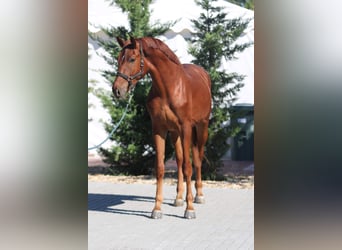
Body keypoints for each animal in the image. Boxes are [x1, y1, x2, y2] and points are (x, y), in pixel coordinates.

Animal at [112, 36, 211, 219]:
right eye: (118, 59)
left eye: (131, 59)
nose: (117, 90)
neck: (169, 88)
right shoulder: (159, 130)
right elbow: (160, 168)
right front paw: (157, 209)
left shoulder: (186, 128)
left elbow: (188, 167)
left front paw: (190, 209)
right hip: (175, 133)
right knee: (179, 160)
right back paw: (179, 199)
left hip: (202, 127)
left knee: (197, 158)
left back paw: (199, 196)